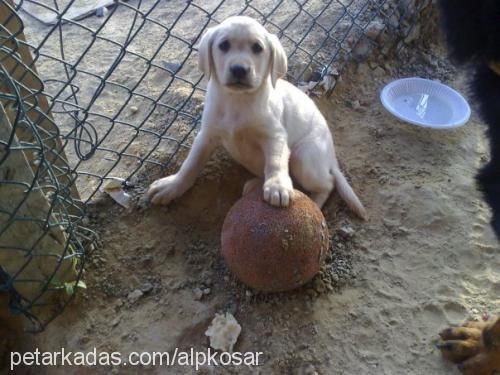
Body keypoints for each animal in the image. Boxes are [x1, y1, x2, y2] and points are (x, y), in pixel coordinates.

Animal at [146, 16, 366, 219]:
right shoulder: (206, 135)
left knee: (327, 184)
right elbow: (190, 164)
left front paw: (277, 186)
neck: (238, 100)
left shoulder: (275, 135)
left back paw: (314, 204)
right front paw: (172, 186)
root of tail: (331, 157)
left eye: (258, 48)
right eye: (223, 45)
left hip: (303, 157)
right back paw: (254, 184)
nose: (239, 69)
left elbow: (275, 162)